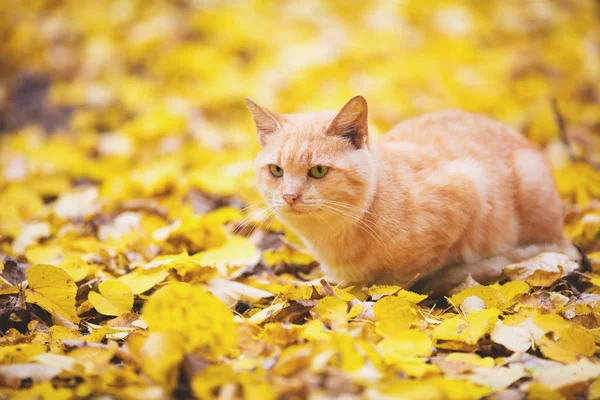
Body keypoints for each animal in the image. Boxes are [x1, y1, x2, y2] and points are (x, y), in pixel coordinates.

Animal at [245, 95, 576, 292]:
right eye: (277, 170)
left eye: (317, 171)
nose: (290, 196)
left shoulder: (468, 184)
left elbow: (403, 279)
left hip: (530, 182)